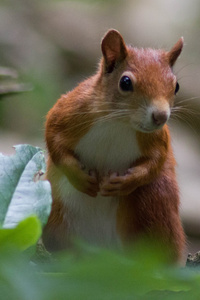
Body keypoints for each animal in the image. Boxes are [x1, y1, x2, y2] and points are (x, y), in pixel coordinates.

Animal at [43, 29, 185, 262]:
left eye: (176, 86)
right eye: (125, 82)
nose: (160, 116)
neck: (119, 122)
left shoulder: (157, 138)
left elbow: (156, 160)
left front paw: (126, 182)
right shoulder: (71, 110)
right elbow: (53, 139)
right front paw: (80, 177)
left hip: (155, 199)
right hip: (55, 211)